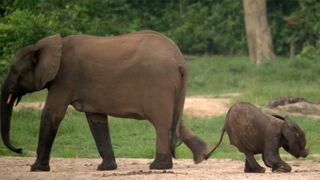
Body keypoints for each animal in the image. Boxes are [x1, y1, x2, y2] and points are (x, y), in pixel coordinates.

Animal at [0, 31, 209, 172]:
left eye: (13, 71)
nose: (19, 149)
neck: (47, 45)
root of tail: (180, 60)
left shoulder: (65, 79)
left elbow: (52, 114)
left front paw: (36, 169)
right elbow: (96, 119)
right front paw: (106, 168)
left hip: (159, 84)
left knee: (161, 122)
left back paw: (157, 166)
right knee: (174, 120)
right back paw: (203, 155)